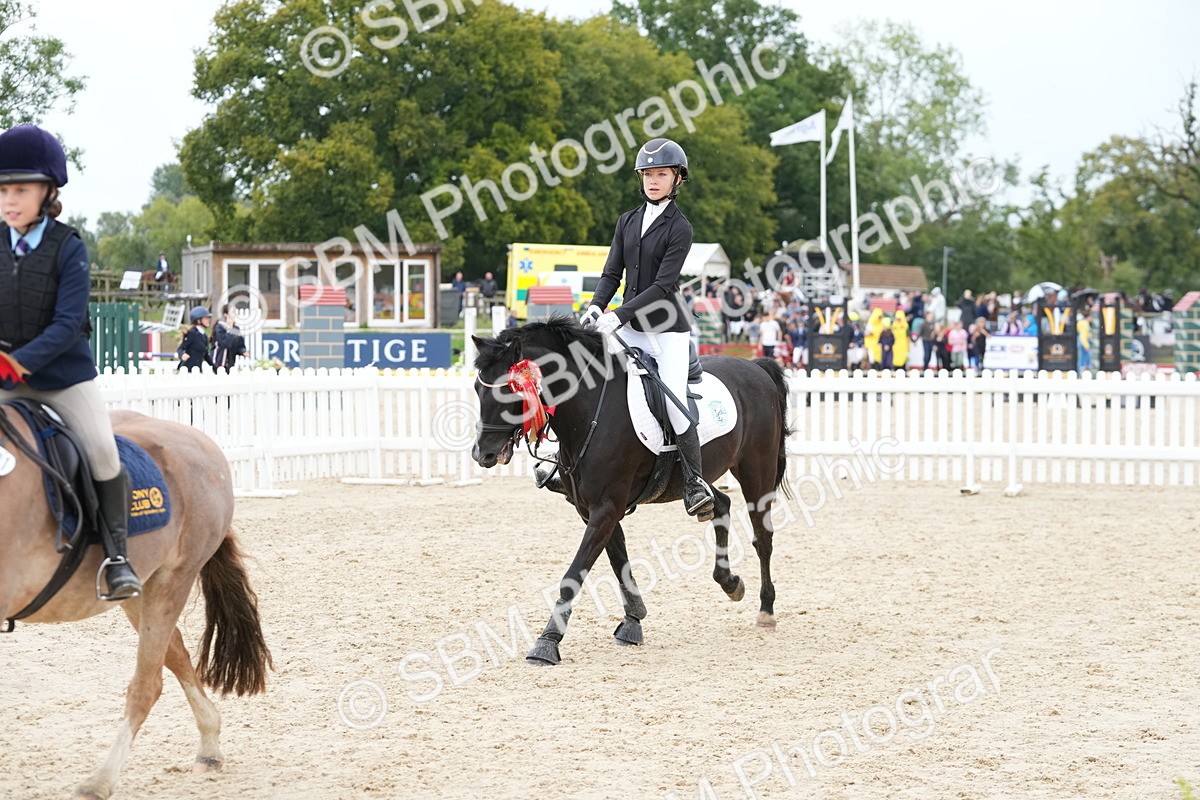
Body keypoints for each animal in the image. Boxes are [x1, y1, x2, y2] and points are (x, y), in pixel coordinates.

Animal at [0, 407, 273, 800]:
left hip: (173, 579)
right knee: (176, 652)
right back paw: (209, 746)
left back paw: (100, 781)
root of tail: (201, 440)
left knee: (148, 683)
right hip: (137, 590)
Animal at [471, 316, 791, 665]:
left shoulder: (607, 507)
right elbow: (619, 562)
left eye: (508, 390)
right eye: (477, 388)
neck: (589, 410)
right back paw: (729, 582)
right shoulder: (592, 510)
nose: (483, 454)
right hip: (702, 477)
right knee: (720, 504)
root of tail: (756, 367)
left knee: (763, 537)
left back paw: (766, 611)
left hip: (756, 472)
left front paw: (547, 642)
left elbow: (575, 573)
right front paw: (633, 623)